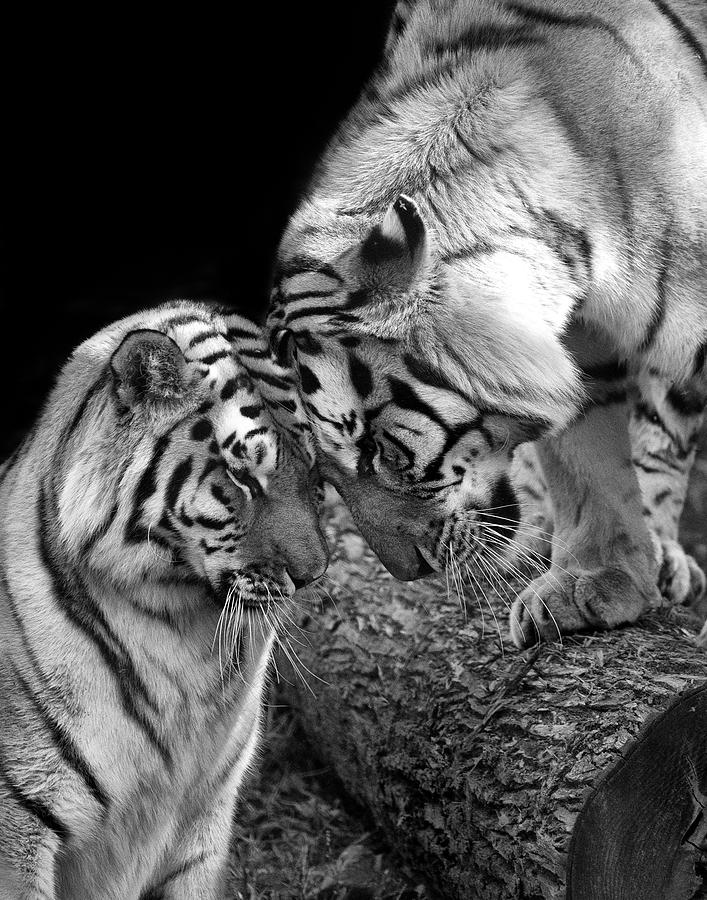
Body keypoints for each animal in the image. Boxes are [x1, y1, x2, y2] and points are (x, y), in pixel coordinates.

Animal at [0, 300, 328, 899]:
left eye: (314, 471)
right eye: (242, 476)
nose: (313, 573)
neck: (181, 626)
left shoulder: (204, 822)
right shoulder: (19, 815)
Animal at [267, 0, 707, 648]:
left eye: (380, 451)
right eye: (326, 473)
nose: (410, 571)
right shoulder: (584, 344)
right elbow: (587, 460)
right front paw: (596, 580)